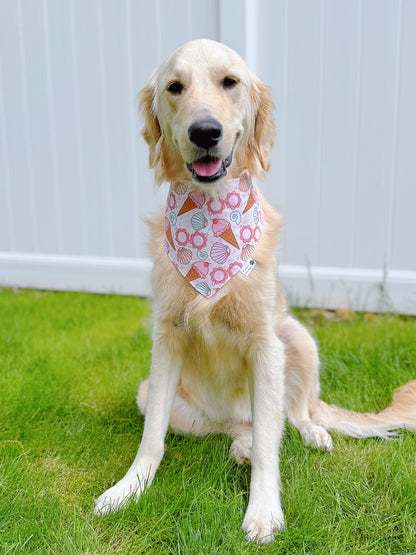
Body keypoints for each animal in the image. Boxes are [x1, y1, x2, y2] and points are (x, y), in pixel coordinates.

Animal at [95, 40, 416, 548]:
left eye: (230, 82)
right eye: (174, 87)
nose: (205, 131)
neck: (209, 218)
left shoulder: (266, 345)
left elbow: (271, 444)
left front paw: (264, 510)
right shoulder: (166, 341)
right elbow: (152, 439)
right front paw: (129, 489)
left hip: (298, 338)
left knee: (293, 416)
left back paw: (311, 435)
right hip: (155, 393)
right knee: (238, 430)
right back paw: (240, 444)